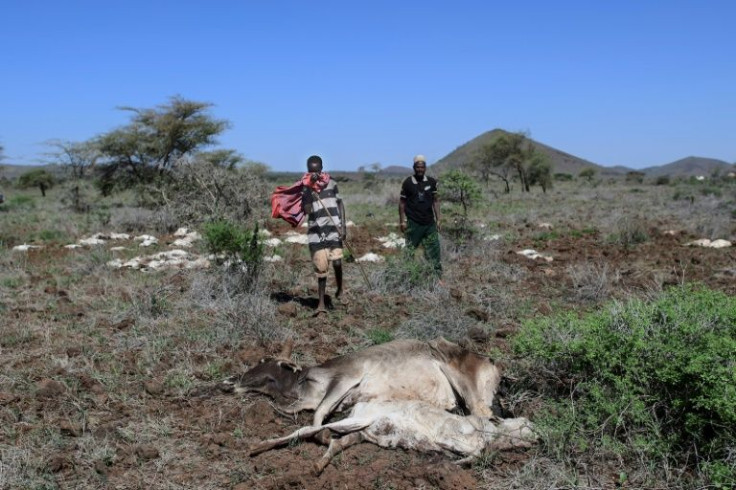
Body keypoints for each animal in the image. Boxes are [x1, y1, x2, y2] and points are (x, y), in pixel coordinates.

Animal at [224, 336, 500, 424]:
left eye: (263, 361)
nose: (230, 382)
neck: (302, 384)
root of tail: (491, 363)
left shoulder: (346, 378)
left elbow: (318, 413)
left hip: (463, 382)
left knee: (482, 415)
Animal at [249, 400, 536, 472]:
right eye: (527, 424)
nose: (540, 437)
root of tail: (361, 404)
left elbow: (480, 454)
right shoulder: (450, 436)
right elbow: (476, 452)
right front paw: (456, 462)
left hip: (360, 433)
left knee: (336, 442)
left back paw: (319, 466)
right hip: (358, 421)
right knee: (309, 430)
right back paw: (257, 447)